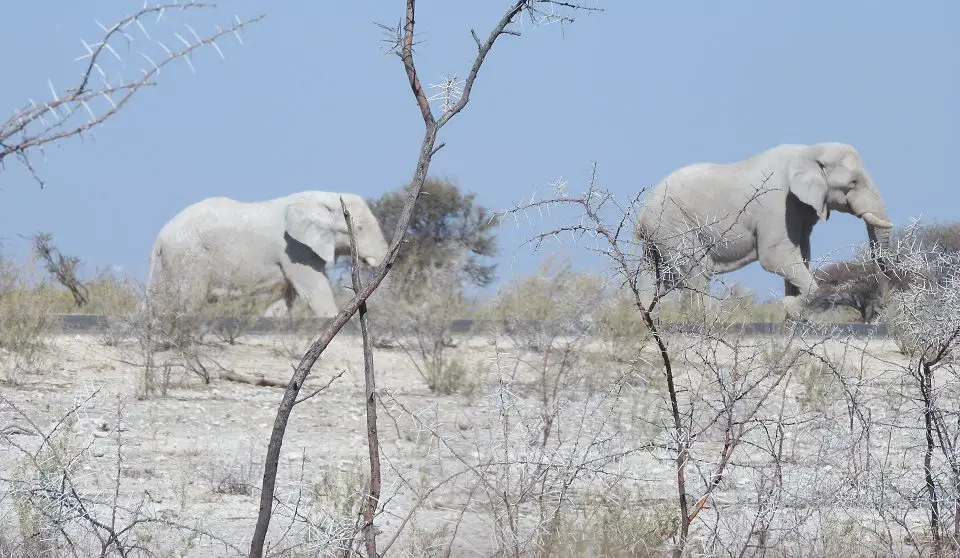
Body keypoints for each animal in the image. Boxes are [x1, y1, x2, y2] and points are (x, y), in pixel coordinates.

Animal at [148, 191, 388, 320]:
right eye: (359, 229)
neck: (321, 199)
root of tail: (159, 239)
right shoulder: (295, 248)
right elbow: (316, 293)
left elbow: (287, 299)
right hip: (189, 258)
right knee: (187, 301)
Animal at [632, 142, 896, 322]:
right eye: (853, 183)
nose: (878, 310)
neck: (809, 151)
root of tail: (641, 216)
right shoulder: (777, 204)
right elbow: (776, 257)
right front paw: (789, 306)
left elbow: (801, 255)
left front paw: (796, 318)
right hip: (673, 224)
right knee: (697, 271)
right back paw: (702, 323)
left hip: (659, 234)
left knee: (654, 276)